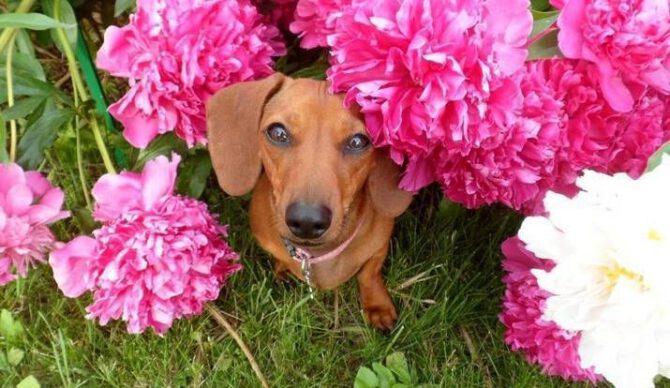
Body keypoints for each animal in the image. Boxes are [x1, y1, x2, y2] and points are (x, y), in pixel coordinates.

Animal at [207, 73, 412, 330]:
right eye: (278, 133)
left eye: (358, 142)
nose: (307, 221)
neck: (315, 255)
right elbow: (279, 256)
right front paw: (283, 270)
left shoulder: (379, 245)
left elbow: (369, 273)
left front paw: (377, 306)